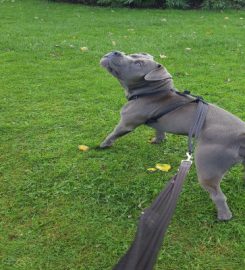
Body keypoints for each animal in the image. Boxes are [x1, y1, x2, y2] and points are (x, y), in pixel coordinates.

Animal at [99, 51, 245, 221]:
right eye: (133, 55)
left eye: (139, 64)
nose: (116, 52)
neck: (152, 92)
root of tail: (240, 134)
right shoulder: (159, 124)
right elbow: (160, 131)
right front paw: (158, 140)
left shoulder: (126, 123)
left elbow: (113, 133)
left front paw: (103, 145)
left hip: (207, 168)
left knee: (218, 196)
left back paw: (223, 216)